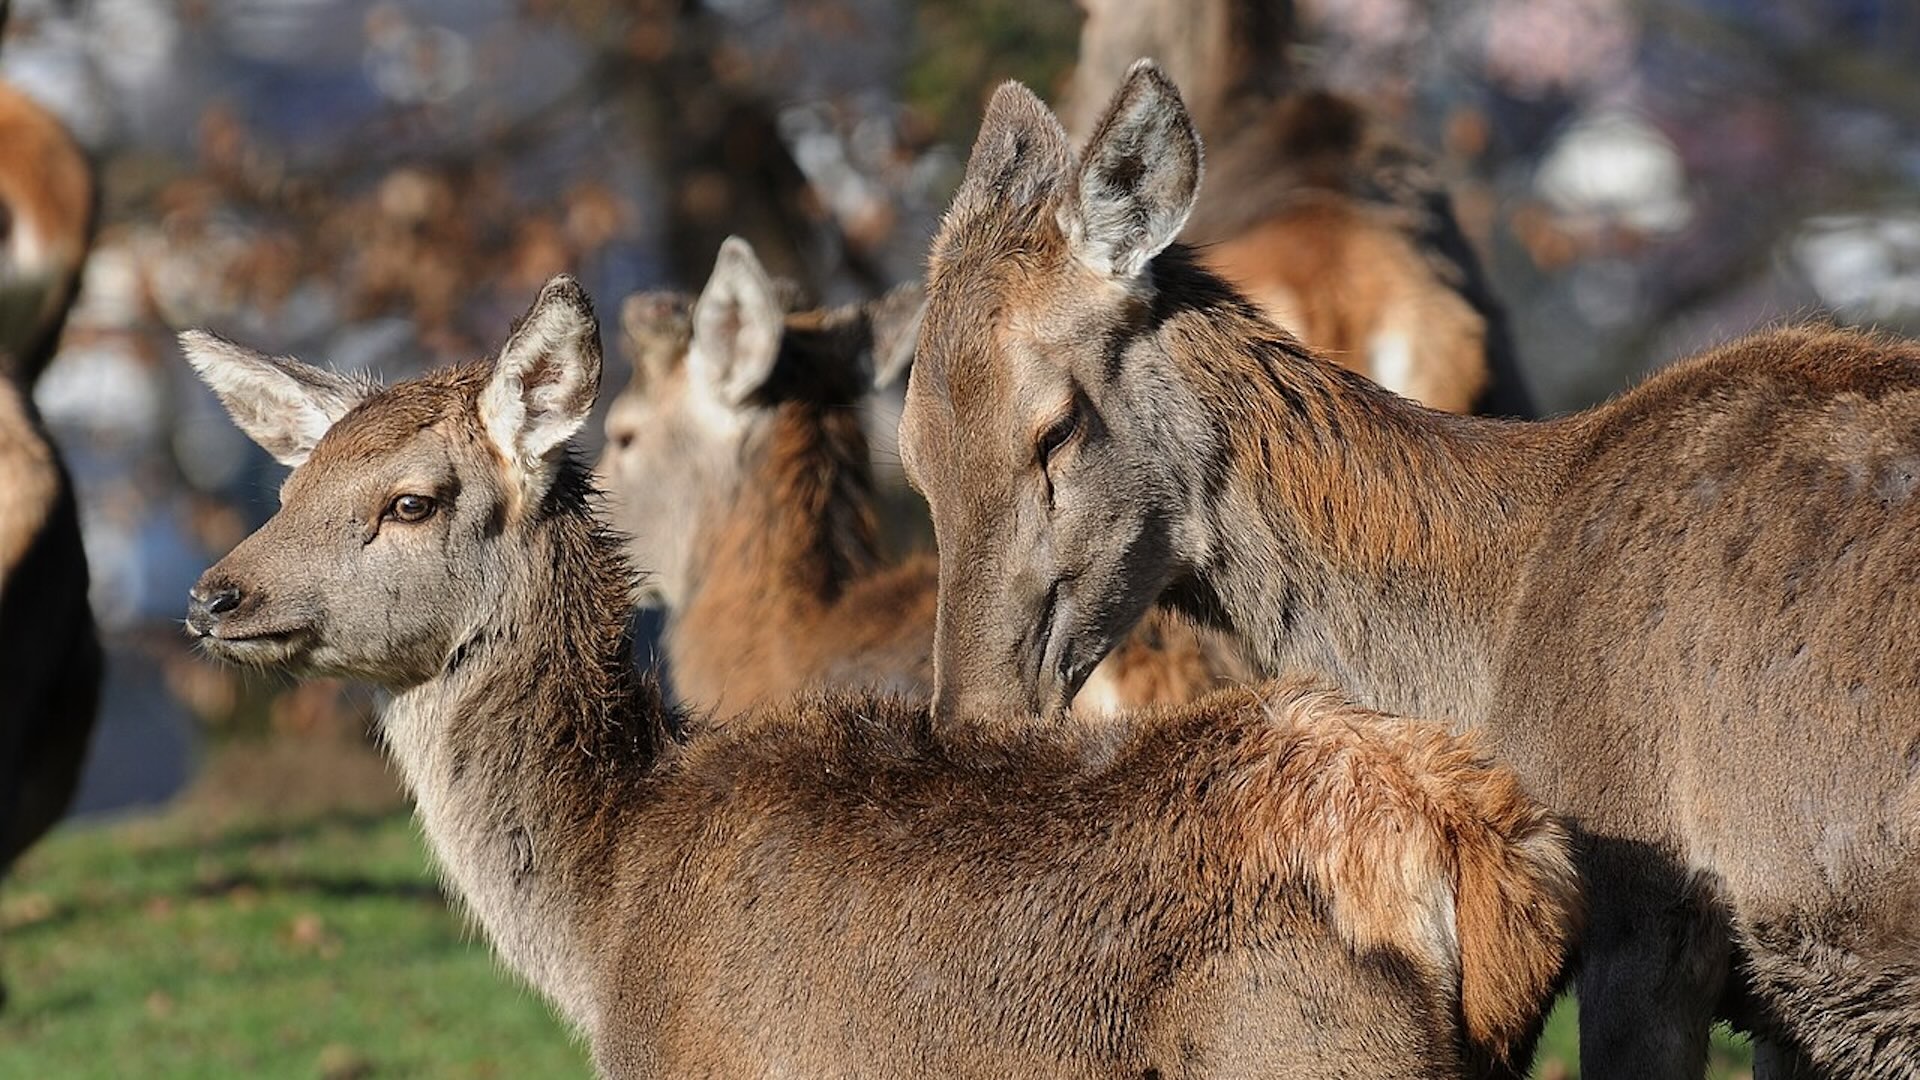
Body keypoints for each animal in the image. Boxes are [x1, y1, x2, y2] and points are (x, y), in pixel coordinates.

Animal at [894, 61, 1920, 1076]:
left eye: (1057, 428)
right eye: (910, 454)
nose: (971, 719)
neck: (1489, 649)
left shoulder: (1648, 910)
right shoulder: (1792, 1014)